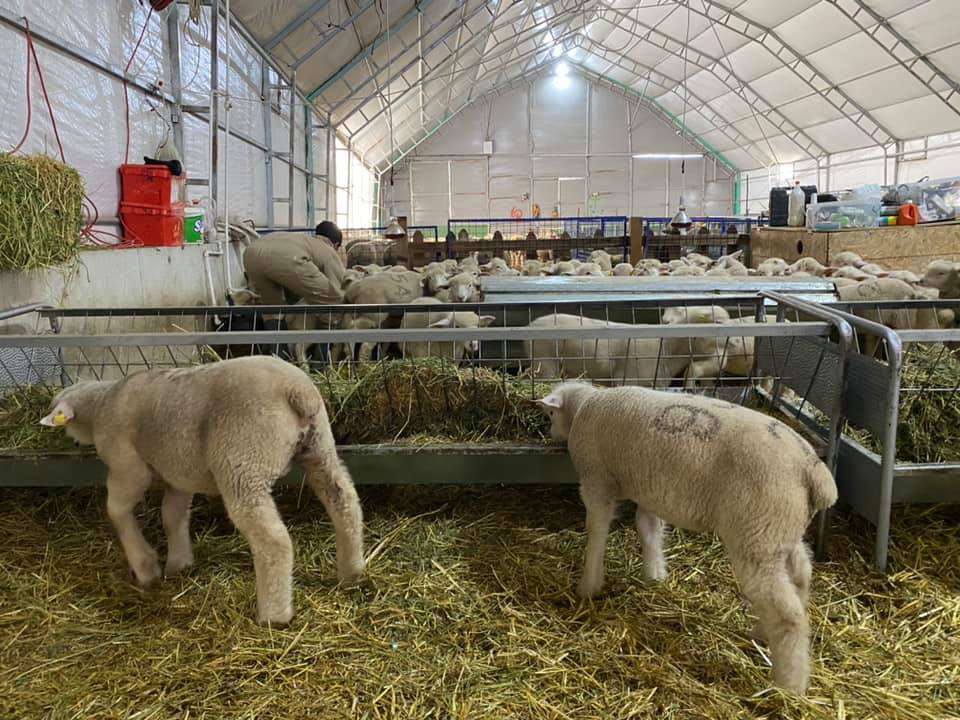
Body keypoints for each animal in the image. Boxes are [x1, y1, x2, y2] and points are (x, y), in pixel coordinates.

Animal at [40, 356, 364, 626]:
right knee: (345, 501)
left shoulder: (127, 465)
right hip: (320, 447)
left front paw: (146, 567)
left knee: (274, 542)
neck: (102, 404)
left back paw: (274, 615)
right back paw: (351, 572)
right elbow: (172, 514)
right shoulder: (179, 474)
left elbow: (117, 510)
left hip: (243, 463)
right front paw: (179, 563)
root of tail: (296, 390)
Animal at [536, 381, 836, 694]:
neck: (585, 405)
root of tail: (814, 473)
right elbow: (649, 528)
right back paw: (763, 633)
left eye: (549, 413)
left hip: (757, 533)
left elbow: (596, 530)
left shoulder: (597, 481)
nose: (549, 433)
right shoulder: (650, 488)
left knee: (787, 613)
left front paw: (588, 586)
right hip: (780, 530)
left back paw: (789, 684)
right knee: (801, 575)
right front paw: (654, 574)